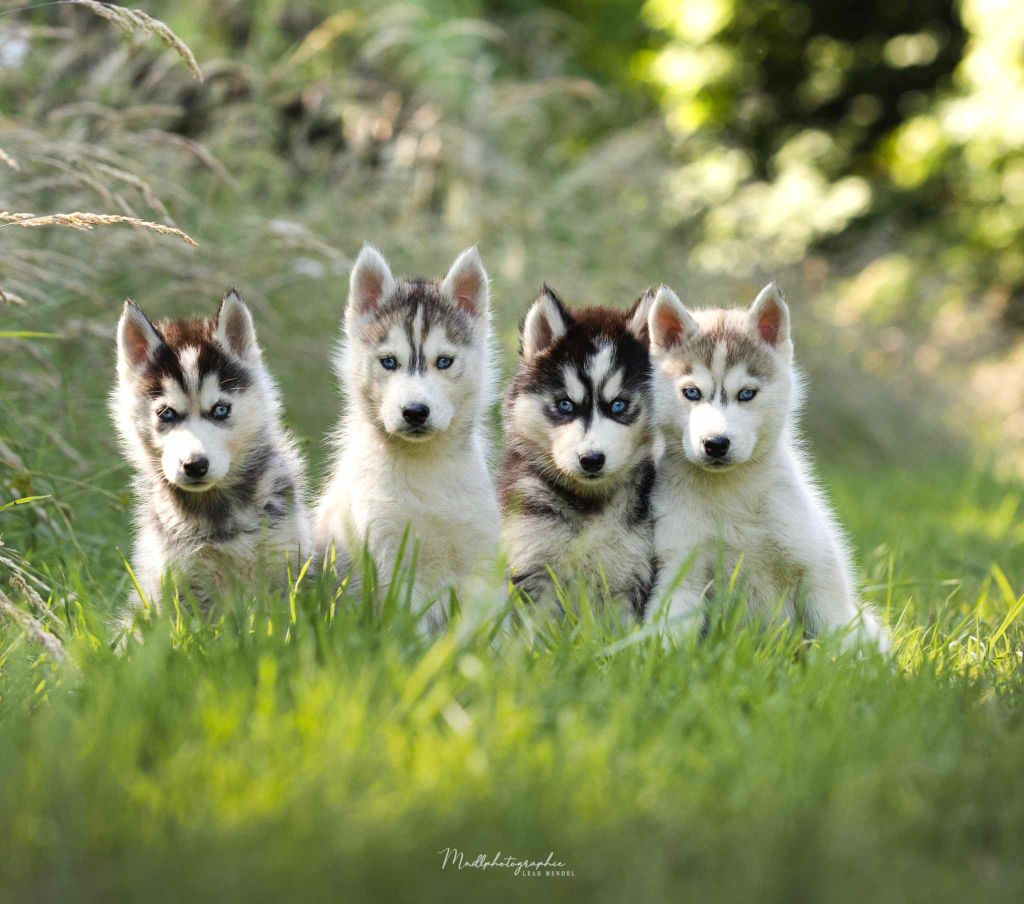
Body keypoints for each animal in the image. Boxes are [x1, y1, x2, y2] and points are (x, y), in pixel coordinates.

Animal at [113, 290, 311, 634]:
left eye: (220, 409)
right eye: (166, 413)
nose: (195, 465)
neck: (215, 514)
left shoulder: (282, 563)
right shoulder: (180, 579)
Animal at [313, 243, 501, 634]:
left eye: (444, 361)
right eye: (388, 362)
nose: (415, 411)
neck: (426, 468)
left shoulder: (480, 556)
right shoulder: (388, 557)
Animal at [499, 286, 659, 618]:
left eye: (619, 405)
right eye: (565, 405)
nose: (591, 460)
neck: (589, 503)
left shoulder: (632, 573)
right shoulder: (530, 560)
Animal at [647, 282, 888, 651]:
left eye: (747, 394)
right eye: (691, 393)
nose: (715, 443)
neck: (730, 492)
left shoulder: (817, 575)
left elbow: (833, 637)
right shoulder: (682, 571)